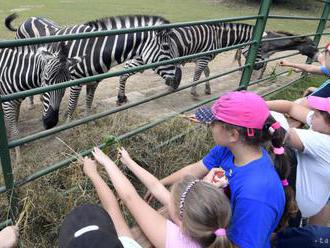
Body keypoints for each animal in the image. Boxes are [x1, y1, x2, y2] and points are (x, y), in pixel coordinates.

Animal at [5, 13, 182, 121]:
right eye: (166, 47)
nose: (178, 80)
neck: (94, 49)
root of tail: (28, 18)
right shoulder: (75, 82)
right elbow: (72, 106)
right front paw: (68, 124)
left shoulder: (94, 81)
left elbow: (89, 103)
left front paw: (88, 121)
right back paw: (31, 103)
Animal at [115, 20, 262, 103]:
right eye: (260, 47)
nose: (260, 66)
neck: (218, 37)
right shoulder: (203, 58)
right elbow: (197, 74)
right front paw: (194, 93)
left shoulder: (202, 58)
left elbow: (207, 72)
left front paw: (207, 89)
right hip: (143, 60)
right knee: (124, 72)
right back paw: (121, 97)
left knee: (124, 72)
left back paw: (121, 97)